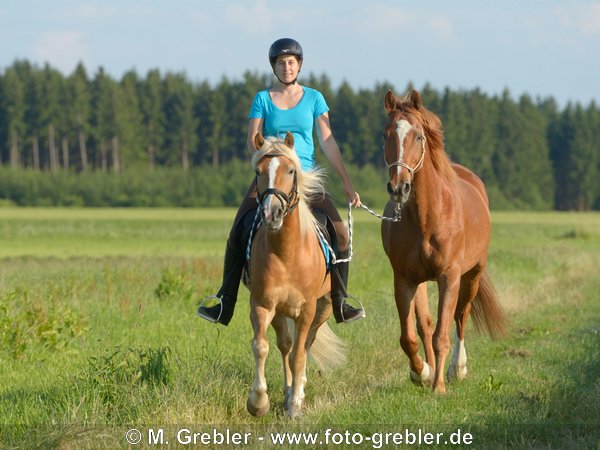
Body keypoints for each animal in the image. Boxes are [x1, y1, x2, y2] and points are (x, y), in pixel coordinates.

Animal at [246, 131, 344, 418]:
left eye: (291, 170)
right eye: (258, 171)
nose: (272, 214)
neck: (286, 252)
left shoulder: (307, 308)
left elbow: (299, 356)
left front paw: (295, 407)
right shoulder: (262, 304)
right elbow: (261, 346)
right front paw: (258, 402)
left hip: (323, 307)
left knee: (305, 343)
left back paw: (297, 393)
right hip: (280, 312)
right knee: (285, 345)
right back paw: (288, 391)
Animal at [382, 89, 504, 392]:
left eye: (418, 136)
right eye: (386, 135)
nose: (399, 188)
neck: (428, 217)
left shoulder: (449, 276)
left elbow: (442, 334)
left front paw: (439, 386)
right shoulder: (404, 279)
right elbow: (410, 336)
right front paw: (422, 373)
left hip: (472, 275)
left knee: (461, 316)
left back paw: (457, 369)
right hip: (422, 282)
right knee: (424, 324)